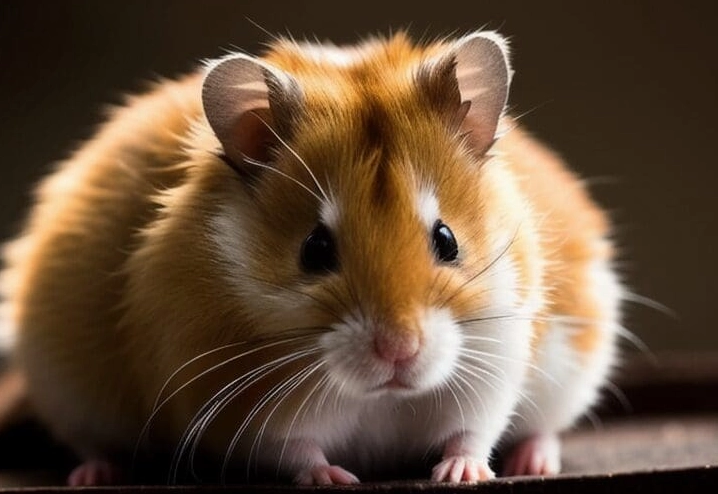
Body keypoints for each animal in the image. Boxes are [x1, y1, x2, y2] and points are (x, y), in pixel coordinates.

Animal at [0, 30, 622, 486]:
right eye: (314, 249)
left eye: (447, 240)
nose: (399, 352)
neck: (380, 399)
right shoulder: (232, 407)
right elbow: (294, 450)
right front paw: (336, 479)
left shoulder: (496, 358)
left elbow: (475, 429)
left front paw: (460, 475)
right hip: (66, 384)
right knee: (87, 441)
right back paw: (95, 474)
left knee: (540, 427)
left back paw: (534, 461)